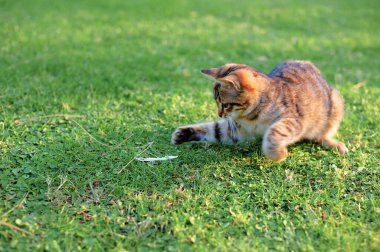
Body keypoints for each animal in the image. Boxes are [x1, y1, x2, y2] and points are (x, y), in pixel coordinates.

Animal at [172, 60, 348, 160]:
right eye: (216, 102)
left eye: (225, 104)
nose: (220, 114)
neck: (250, 117)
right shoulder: (234, 129)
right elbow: (213, 130)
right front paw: (182, 134)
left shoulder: (294, 121)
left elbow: (275, 133)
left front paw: (277, 154)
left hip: (335, 106)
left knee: (320, 135)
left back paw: (335, 144)